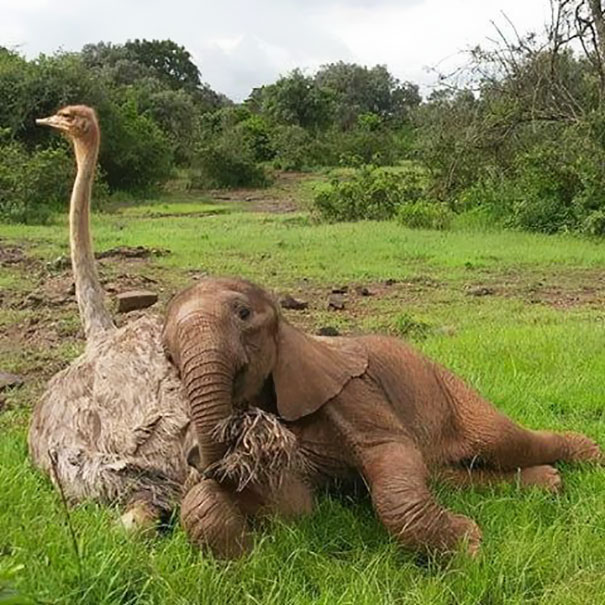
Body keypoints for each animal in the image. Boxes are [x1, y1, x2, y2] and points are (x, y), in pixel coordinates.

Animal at [163, 278, 600, 556]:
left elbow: (390, 453)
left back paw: (588, 454)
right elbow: (295, 506)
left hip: (449, 388)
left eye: (243, 313)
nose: (195, 458)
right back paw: (548, 481)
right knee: (441, 472)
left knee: (501, 440)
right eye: (168, 353)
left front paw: (470, 549)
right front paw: (245, 554)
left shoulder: (353, 392)